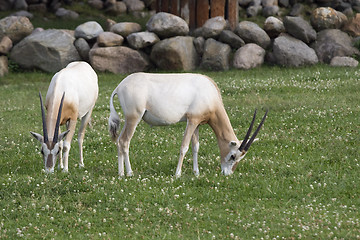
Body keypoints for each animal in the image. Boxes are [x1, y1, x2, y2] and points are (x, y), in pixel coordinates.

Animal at [109, 72, 268, 177]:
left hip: (128, 120)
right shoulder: (191, 120)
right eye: (233, 156)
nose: (227, 173)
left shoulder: (197, 122)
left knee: (119, 141)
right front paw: (177, 174)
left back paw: (121, 173)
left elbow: (195, 147)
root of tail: (119, 86)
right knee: (124, 141)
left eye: (240, 158)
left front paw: (196, 172)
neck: (209, 93)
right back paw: (129, 173)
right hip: (134, 118)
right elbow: (184, 147)